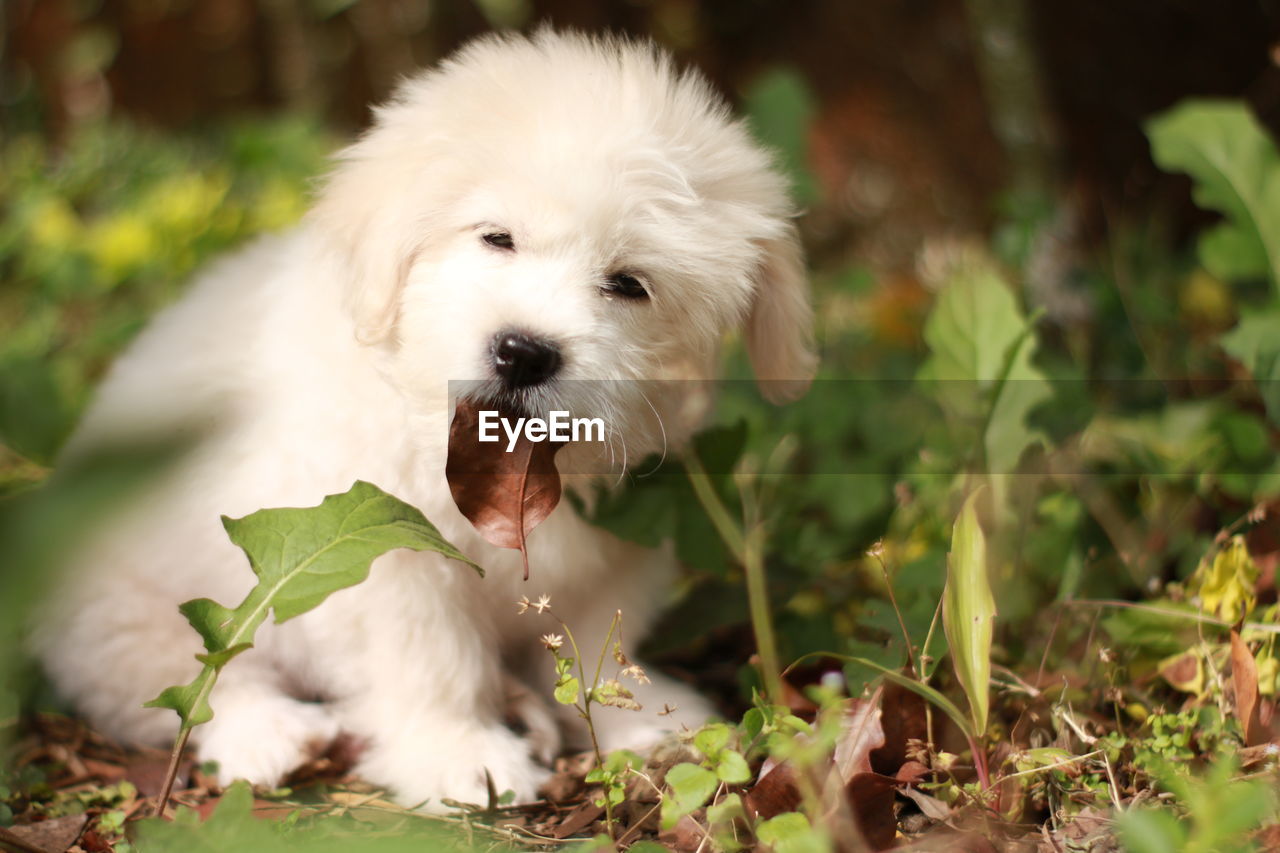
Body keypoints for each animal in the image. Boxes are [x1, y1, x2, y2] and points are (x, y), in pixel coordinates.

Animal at [35, 29, 814, 809]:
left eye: (629, 284)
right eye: (496, 237)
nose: (523, 351)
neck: (501, 457)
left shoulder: (618, 545)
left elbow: (599, 634)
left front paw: (639, 714)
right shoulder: (380, 552)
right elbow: (431, 659)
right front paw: (461, 755)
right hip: (127, 608)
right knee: (195, 679)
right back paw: (272, 733)